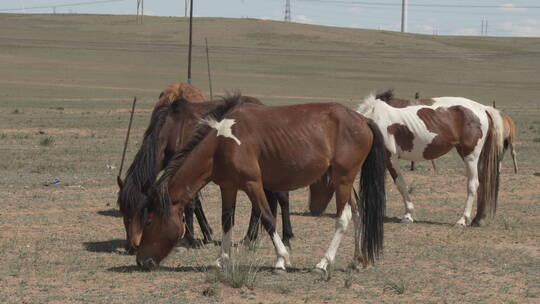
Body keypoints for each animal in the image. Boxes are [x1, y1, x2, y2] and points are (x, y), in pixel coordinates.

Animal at [136, 94, 388, 274]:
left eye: (148, 221)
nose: (140, 261)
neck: (221, 143)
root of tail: (363, 119)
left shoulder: (253, 184)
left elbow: (267, 217)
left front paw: (281, 260)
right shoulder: (228, 187)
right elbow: (227, 221)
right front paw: (222, 259)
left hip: (342, 179)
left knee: (343, 218)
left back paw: (323, 263)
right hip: (344, 180)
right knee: (358, 212)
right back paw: (357, 260)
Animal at [356, 91, 504, 227]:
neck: (374, 119)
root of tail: (483, 108)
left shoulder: (390, 157)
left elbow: (400, 184)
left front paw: (408, 215)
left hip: (471, 156)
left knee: (473, 184)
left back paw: (462, 220)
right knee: (482, 183)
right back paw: (478, 219)